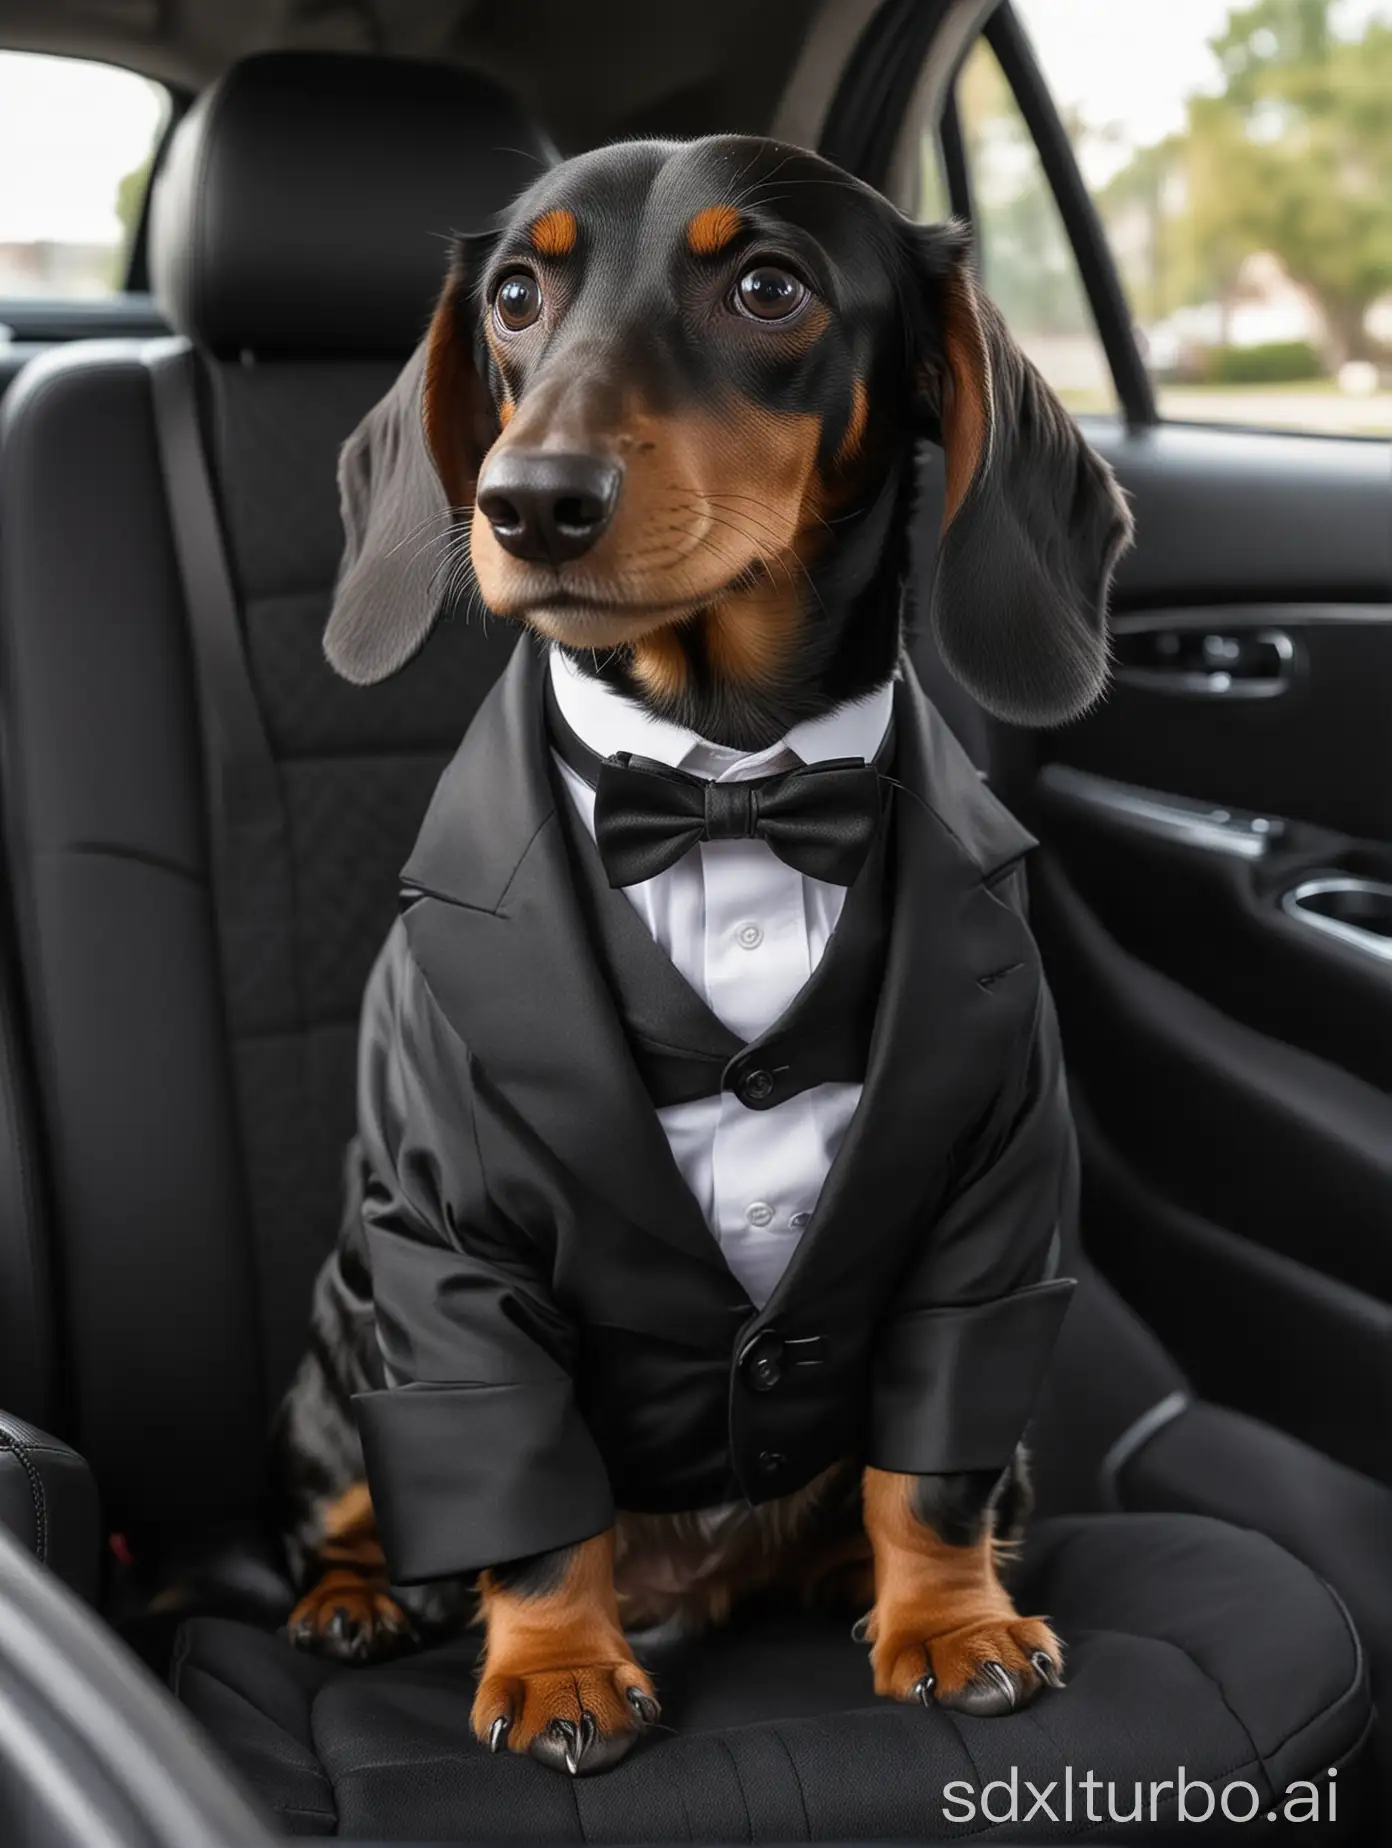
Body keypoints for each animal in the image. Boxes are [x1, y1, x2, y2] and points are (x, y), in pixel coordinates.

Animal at [273, 133, 1131, 1774]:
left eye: (769, 288)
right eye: (517, 296)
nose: (528, 504)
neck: (728, 787)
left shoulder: (991, 1202)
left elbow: (931, 1472)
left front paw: (950, 1621)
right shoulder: (451, 1242)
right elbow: (530, 1493)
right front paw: (555, 1666)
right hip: (348, 1348)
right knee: (352, 1505)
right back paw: (355, 1603)